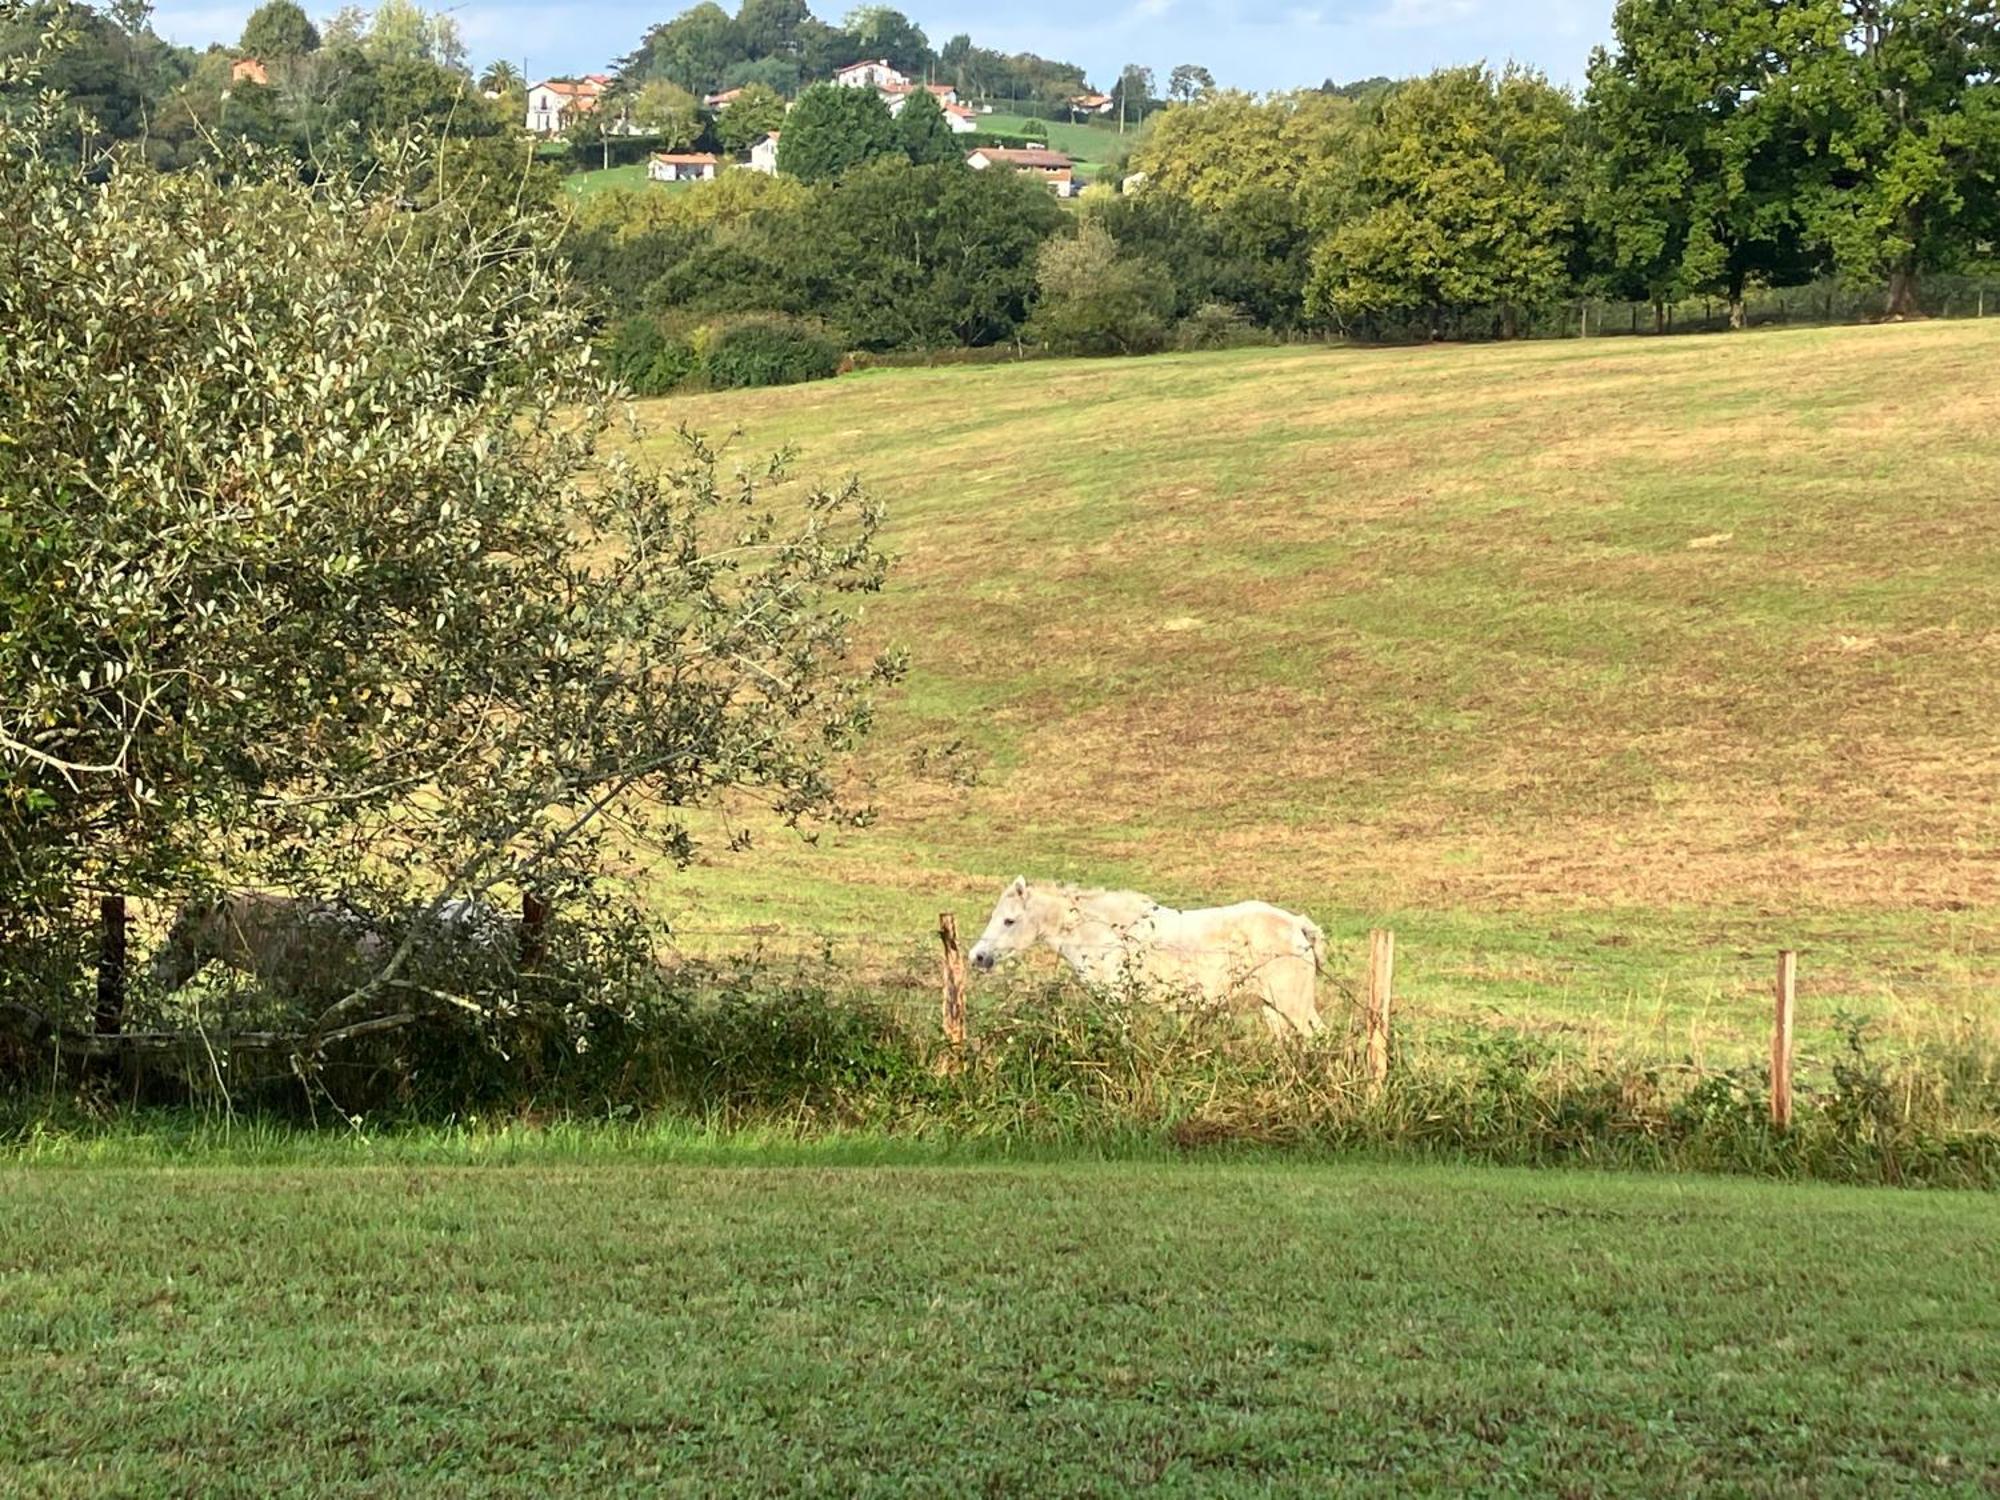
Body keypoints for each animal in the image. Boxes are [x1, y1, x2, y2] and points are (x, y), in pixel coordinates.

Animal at [968, 876, 1328, 1040]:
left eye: (1009, 921)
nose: (978, 957)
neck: (1107, 934)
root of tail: (1296, 925)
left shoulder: (1118, 1002)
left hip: (1293, 1005)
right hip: (1273, 1009)